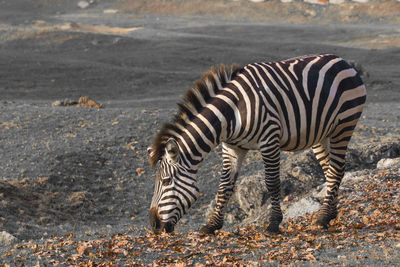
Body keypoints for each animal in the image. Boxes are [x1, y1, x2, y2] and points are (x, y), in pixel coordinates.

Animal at [147, 54, 366, 234]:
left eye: (166, 181)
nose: (154, 225)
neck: (232, 113)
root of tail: (343, 61)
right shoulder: (232, 147)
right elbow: (225, 186)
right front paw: (212, 225)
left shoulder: (269, 140)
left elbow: (272, 183)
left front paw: (274, 223)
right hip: (321, 135)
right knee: (332, 170)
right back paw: (330, 213)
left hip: (343, 127)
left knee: (336, 170)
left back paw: (322, 218)